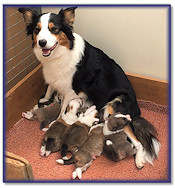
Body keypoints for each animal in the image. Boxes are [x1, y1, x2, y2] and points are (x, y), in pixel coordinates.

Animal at [18, 6, 160, 169]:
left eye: (54, 29)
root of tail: (136, 109)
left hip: (115, 103)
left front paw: (55, 121)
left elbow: (62, 111)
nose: (42, 42)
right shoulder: (55, 78)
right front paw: (41, 103)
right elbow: (49, 89)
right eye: (37, 29)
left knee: (136, 141)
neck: (61, 53)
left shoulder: (70, 91)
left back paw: (139, 160)